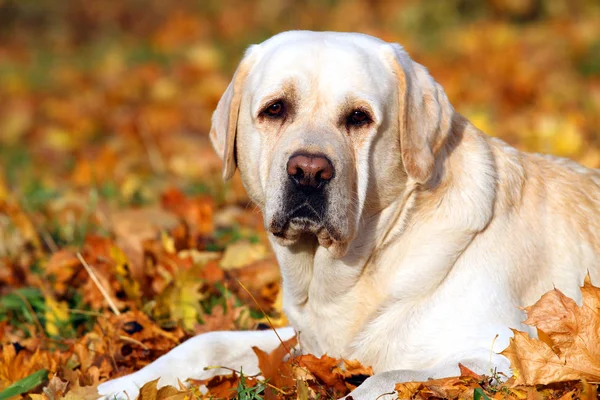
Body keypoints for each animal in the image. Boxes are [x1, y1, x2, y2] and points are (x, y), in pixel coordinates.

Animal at [98, 32, 600, 400]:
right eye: (275, 109)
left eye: (359, 117)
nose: (309, 171)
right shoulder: (306, 340)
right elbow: (206, 340)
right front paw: (116, 385)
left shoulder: (500, 351)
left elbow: (384, 377)